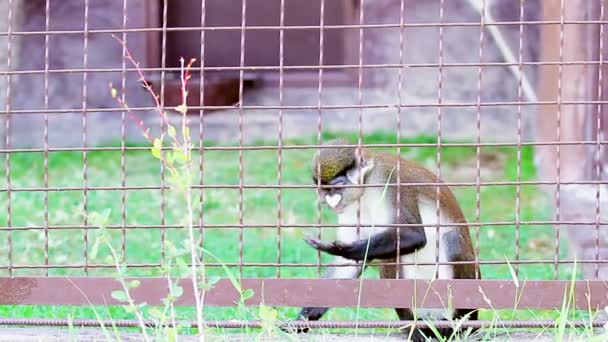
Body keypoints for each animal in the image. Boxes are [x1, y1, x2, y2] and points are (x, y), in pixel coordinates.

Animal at [284, 140, 480, 342]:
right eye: (324, 189)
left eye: (336, 187)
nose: (328, 201)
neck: (367, 182)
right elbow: (347, 267)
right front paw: (301, 320)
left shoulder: (390, 180)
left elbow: (414, 234)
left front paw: (341, 249)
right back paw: (414, 328)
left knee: (451, 239)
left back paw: (455, 328)